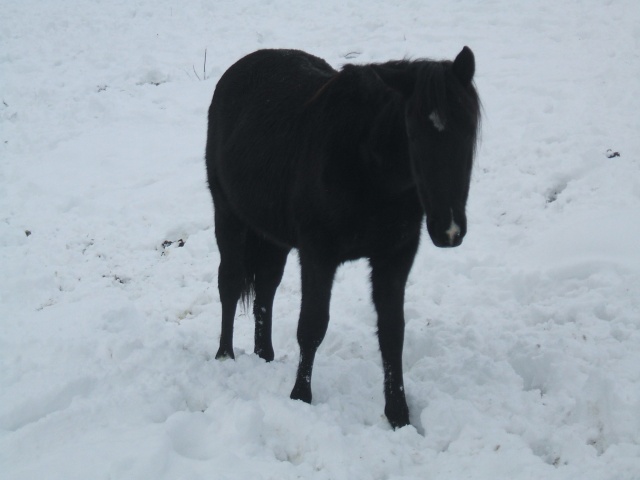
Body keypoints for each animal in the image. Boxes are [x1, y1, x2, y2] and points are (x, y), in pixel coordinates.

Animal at [205, 47, 480, 428]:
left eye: (468, 130)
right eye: (412, 133)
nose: (449, 229)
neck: (367, 167)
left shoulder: (395, 256)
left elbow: (392, 332)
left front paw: (399, 415)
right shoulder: (317, 255)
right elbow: (312, 326)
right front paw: (300, 397)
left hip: (273, 236)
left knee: (266, 288)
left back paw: (264, 356)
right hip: (227, 214)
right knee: (230, 282)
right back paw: (225, 356)